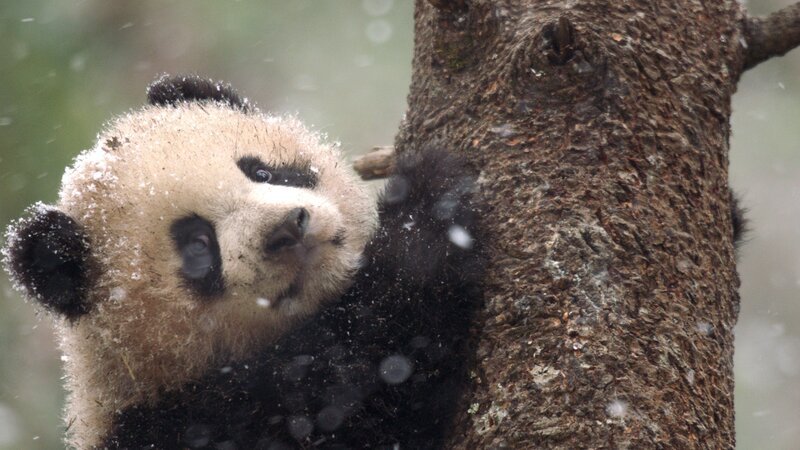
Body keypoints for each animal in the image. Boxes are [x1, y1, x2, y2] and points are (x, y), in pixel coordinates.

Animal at [3, 75, 485, 449]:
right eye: (198, 245)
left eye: (262, 171)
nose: (289, 230)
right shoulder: (192, 426)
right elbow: (354, 383)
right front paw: (427, 213)